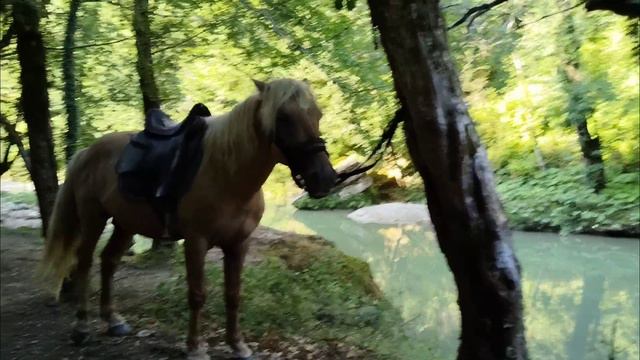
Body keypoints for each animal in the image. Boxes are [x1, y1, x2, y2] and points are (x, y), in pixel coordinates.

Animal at [37, 77, 338, 358]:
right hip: (93, 218)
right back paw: (81, 327)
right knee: (85, 263)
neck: (227, 173)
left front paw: (237, 344)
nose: (325, 178)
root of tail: (86, 151)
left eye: (318, 114)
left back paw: (113, 321)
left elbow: (233, 294)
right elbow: (197, 295)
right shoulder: (196, 242)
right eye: (283, 117)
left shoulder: (239, 244)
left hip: (124, 224)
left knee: (109, 261)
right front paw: (194, 347)